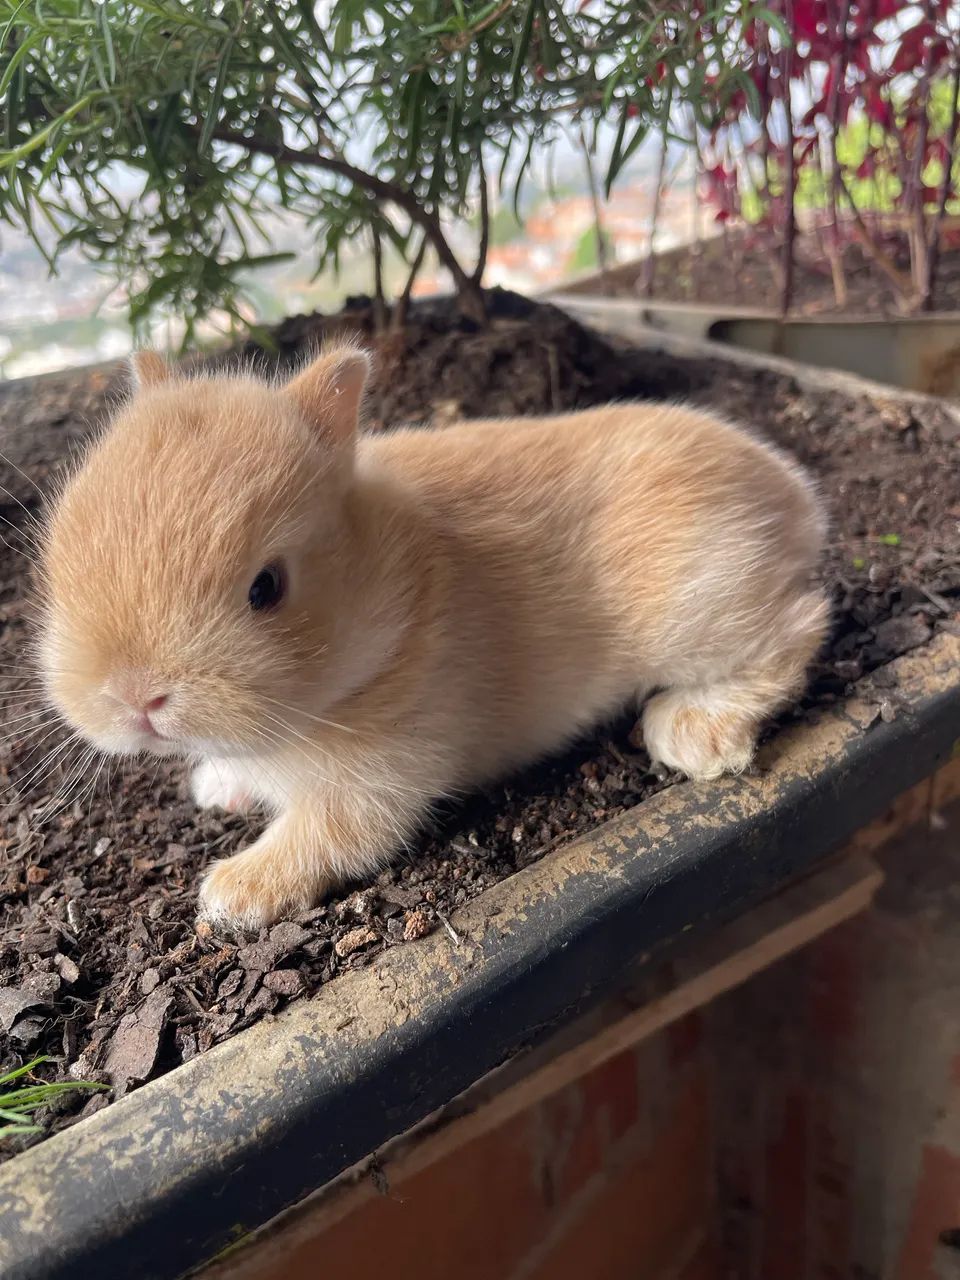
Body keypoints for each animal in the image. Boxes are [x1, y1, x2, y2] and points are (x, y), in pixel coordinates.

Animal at [37, 345, 829, 930]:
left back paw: (692, 734)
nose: (135, 697)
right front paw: (213, 788)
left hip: (702, 607)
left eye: (266, 587)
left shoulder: (381, 774)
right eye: (63, 548)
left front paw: (233, 894)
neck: (388, 595)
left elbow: (328, 835)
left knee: (800, 628)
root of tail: (794, 495)